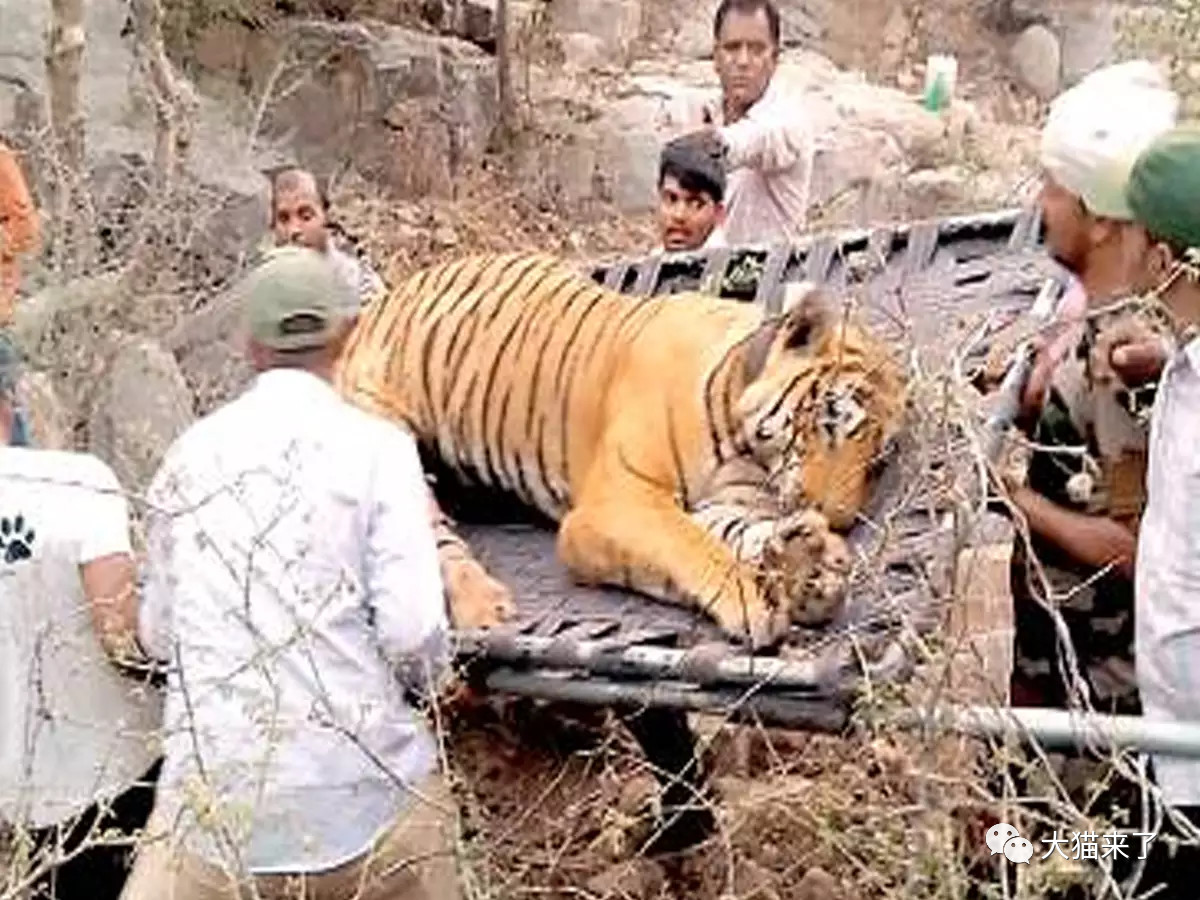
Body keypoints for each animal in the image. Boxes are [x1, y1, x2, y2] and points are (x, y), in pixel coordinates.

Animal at [333, 252, 902, 648]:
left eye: (876, 462)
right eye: (831, 419)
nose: (838, 517)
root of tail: (376, 307)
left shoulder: (725, 502)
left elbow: (737, 532)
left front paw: (809, 566)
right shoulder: (620, 501)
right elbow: (691, 546)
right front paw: (754, 598)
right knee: (433, 538)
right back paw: (485, 607)